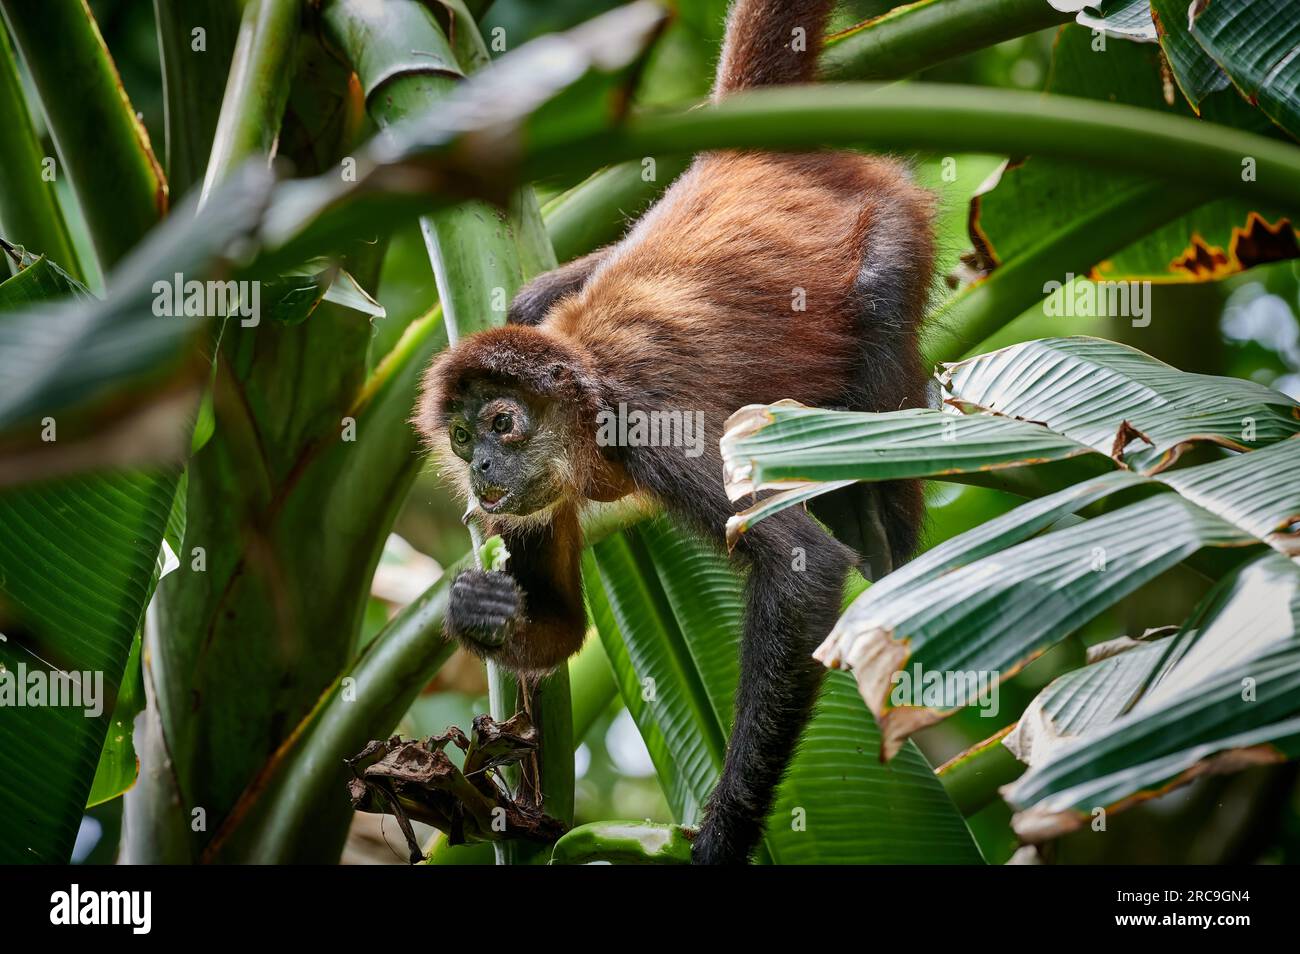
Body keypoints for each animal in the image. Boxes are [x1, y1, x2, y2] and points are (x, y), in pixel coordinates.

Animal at [416, 0, 935, 868]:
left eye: (502, 424)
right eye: (460, 438)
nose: (483, 465)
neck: (588, 394)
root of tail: (741, 158)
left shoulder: (652, 430)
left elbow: (806, 571)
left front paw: (725, 836)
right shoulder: (531, 496)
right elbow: (563, 628)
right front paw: (478, 609)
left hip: (892, 227)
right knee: (532, 299)